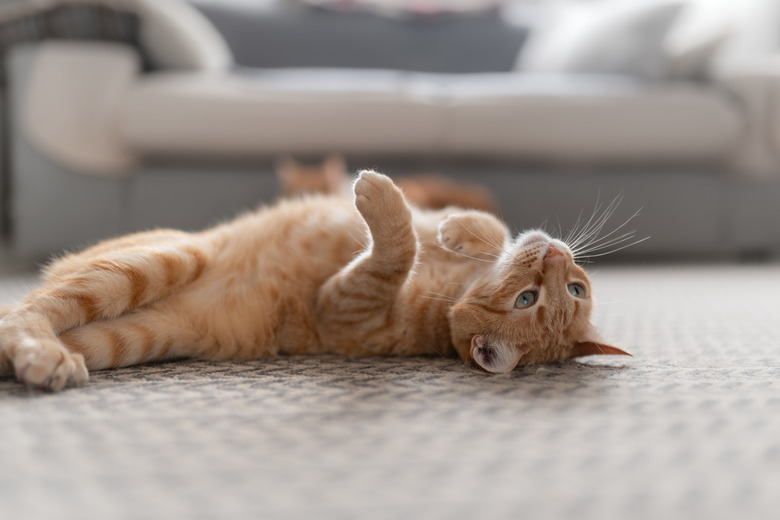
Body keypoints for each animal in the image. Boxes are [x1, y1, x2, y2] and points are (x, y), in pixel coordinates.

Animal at [0, 171, 628, 390]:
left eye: (530, 299)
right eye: (574, 289)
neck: (453, 288)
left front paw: (385, 201)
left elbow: (396, 247)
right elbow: (476, 224)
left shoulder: (343, 305)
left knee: (24, 317)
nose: (555, 254)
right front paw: (461, 228)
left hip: (145, 288)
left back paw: (42, 358)